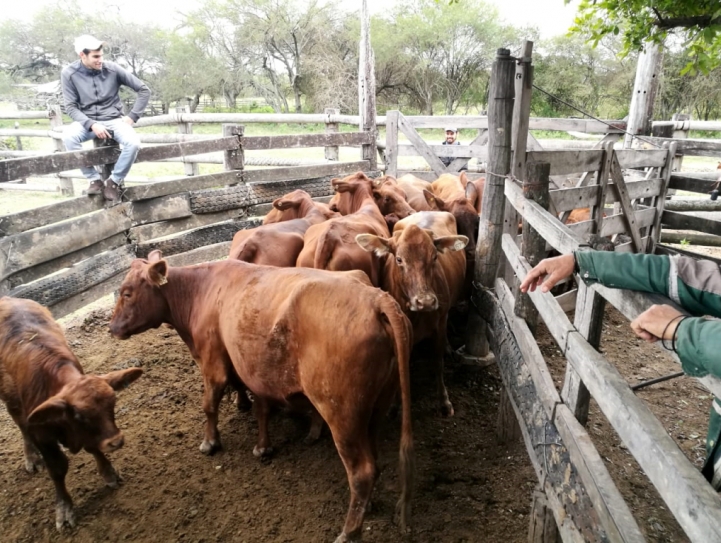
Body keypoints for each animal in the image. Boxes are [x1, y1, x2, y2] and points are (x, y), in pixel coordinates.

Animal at [0, 298, 142, 532]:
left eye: (113, 403)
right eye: (79, 415)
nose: (116, 441)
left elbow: (93, 447)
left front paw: (109, 473)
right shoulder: (41, 434)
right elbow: (57, 468)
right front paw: (64, 509)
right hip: (10, 401)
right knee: (20, 425)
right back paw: (31, 457)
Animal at [106, 253, 410, 540]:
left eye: (127, 292)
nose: (111, 328)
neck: (201, 290)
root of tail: (375, 298)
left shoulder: (212, 362)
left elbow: (209, 405)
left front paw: (210, 442)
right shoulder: (254, 368)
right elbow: (260, 408)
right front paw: (263, 446)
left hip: (342, 415)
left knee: (361, 472)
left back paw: (349, 532)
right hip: (374, 409)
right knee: (373, 460)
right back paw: (367, 506)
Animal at [356, 210, 466, 414]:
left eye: (435, 257)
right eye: (399, 259)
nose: (426, 301)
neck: (417, 316)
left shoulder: (439, 324)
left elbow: (438, 362)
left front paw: (444, 400)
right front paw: (395, 404)